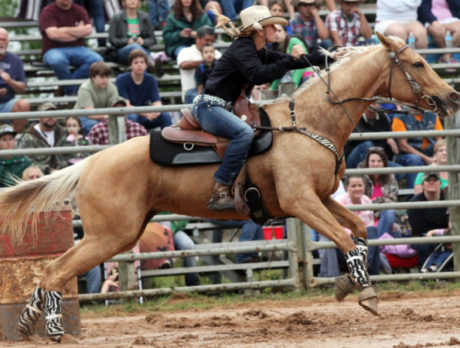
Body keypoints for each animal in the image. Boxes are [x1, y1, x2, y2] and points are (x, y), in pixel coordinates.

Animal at [0, 32, 458, 342]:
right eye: (417, 63)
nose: (451, 95)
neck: (310, 122)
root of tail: (91, 162)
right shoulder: (301, 202)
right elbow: (344, 238)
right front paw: (366, 292)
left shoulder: (321, 197)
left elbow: (358, 231)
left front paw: (348, 282)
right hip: (110, 235)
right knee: (56, 270)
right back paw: (52, 328)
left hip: (115, 234)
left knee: (50, 270)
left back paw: (26, 323)